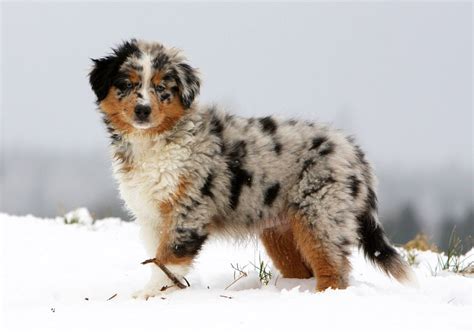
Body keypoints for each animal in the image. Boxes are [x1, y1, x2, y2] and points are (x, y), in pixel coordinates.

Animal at [90, 39, 414, 298]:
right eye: (126, 84)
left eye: (162, 88)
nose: (142, 111)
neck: (154, 141)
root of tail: (355, 152)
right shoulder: (151, 215)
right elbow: (157, 257)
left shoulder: (189, 210)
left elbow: (169, 258)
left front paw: (148, 296)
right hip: (282, 231)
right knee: (304, 268)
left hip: (321, 213)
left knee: (333, 269)